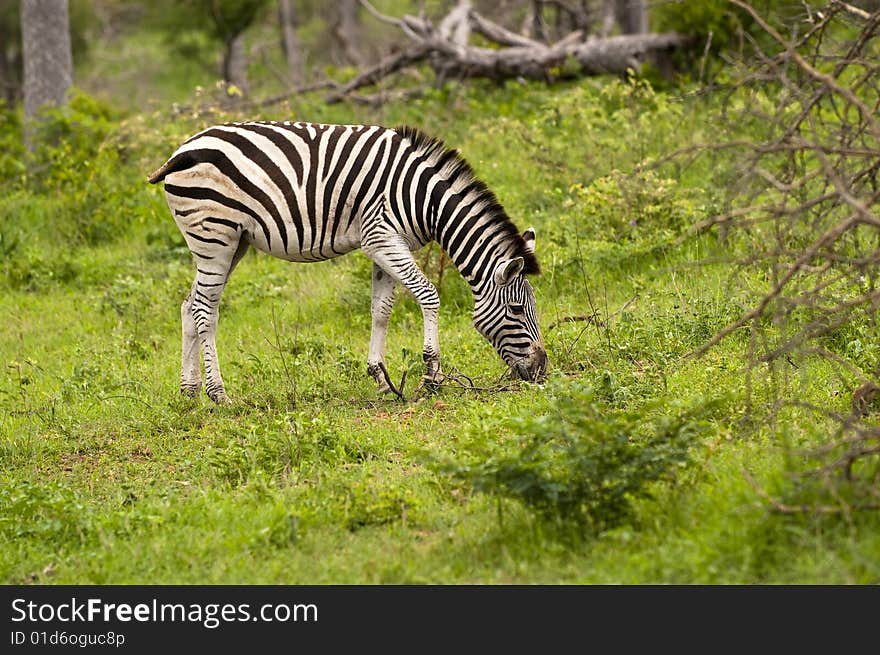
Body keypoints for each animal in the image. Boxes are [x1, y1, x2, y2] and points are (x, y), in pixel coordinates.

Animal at [148, 120, 548, 402]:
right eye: (516, 310)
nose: (542, 370)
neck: (426, 199)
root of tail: (183, 150)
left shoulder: (385, 244)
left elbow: (381, 310)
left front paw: (381, 378)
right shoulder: (381, 236)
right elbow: (428, 294)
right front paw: (432, 374)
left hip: (232, 243)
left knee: (190, 306)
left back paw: (190, 392)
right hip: (215, 237)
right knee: (204, 310)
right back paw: (219, 394)